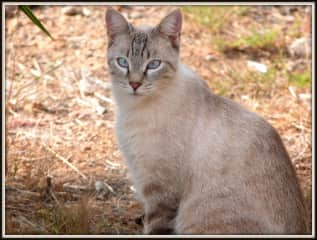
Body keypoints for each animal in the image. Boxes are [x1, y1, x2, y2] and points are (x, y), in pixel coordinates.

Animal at [105, 7, 308, 234]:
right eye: (123, 62)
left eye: (154, 65)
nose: (134, 84)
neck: (132, 109)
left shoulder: (160, 192)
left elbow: (154, 227)